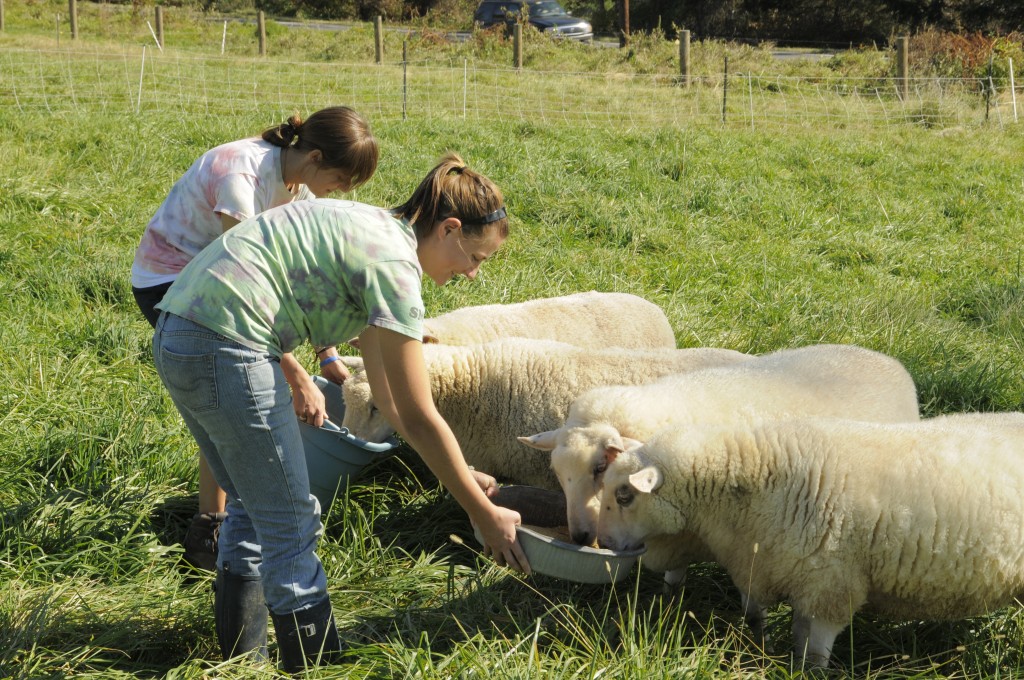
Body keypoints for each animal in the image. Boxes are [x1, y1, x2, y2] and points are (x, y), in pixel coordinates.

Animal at [597, 414, 1024, 668]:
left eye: (624, 495)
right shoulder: (782, 567)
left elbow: (815, 648)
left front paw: (808, 671)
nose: (600, 541)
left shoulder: (830, 584)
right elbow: (788, 631)